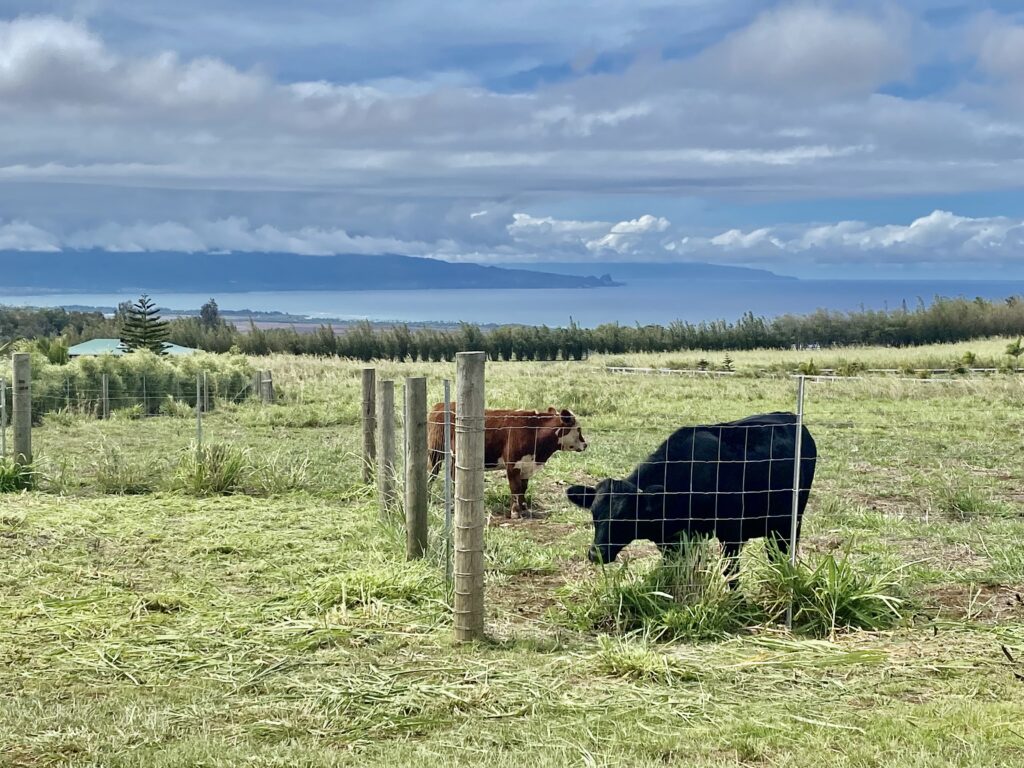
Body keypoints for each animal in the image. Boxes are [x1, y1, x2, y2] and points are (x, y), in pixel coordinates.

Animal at [428, 405, 589, 520]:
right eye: (578, 429)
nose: (586, 444)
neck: (534, 431)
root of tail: (439, 406)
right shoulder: (513, 464)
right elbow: (515, 488)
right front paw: (515, 512)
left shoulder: (526, 466)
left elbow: (523, 488)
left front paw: (524, 508)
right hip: (435, 452)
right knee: (431, 474)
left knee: (454, 477)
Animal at [565, 411, 819, 573]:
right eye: (594, 515)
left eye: (626, 517)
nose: (595, 554)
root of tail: (791, 416)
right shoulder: (674, 541)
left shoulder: (732, 532)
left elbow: (730, 572)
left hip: (791, 519)